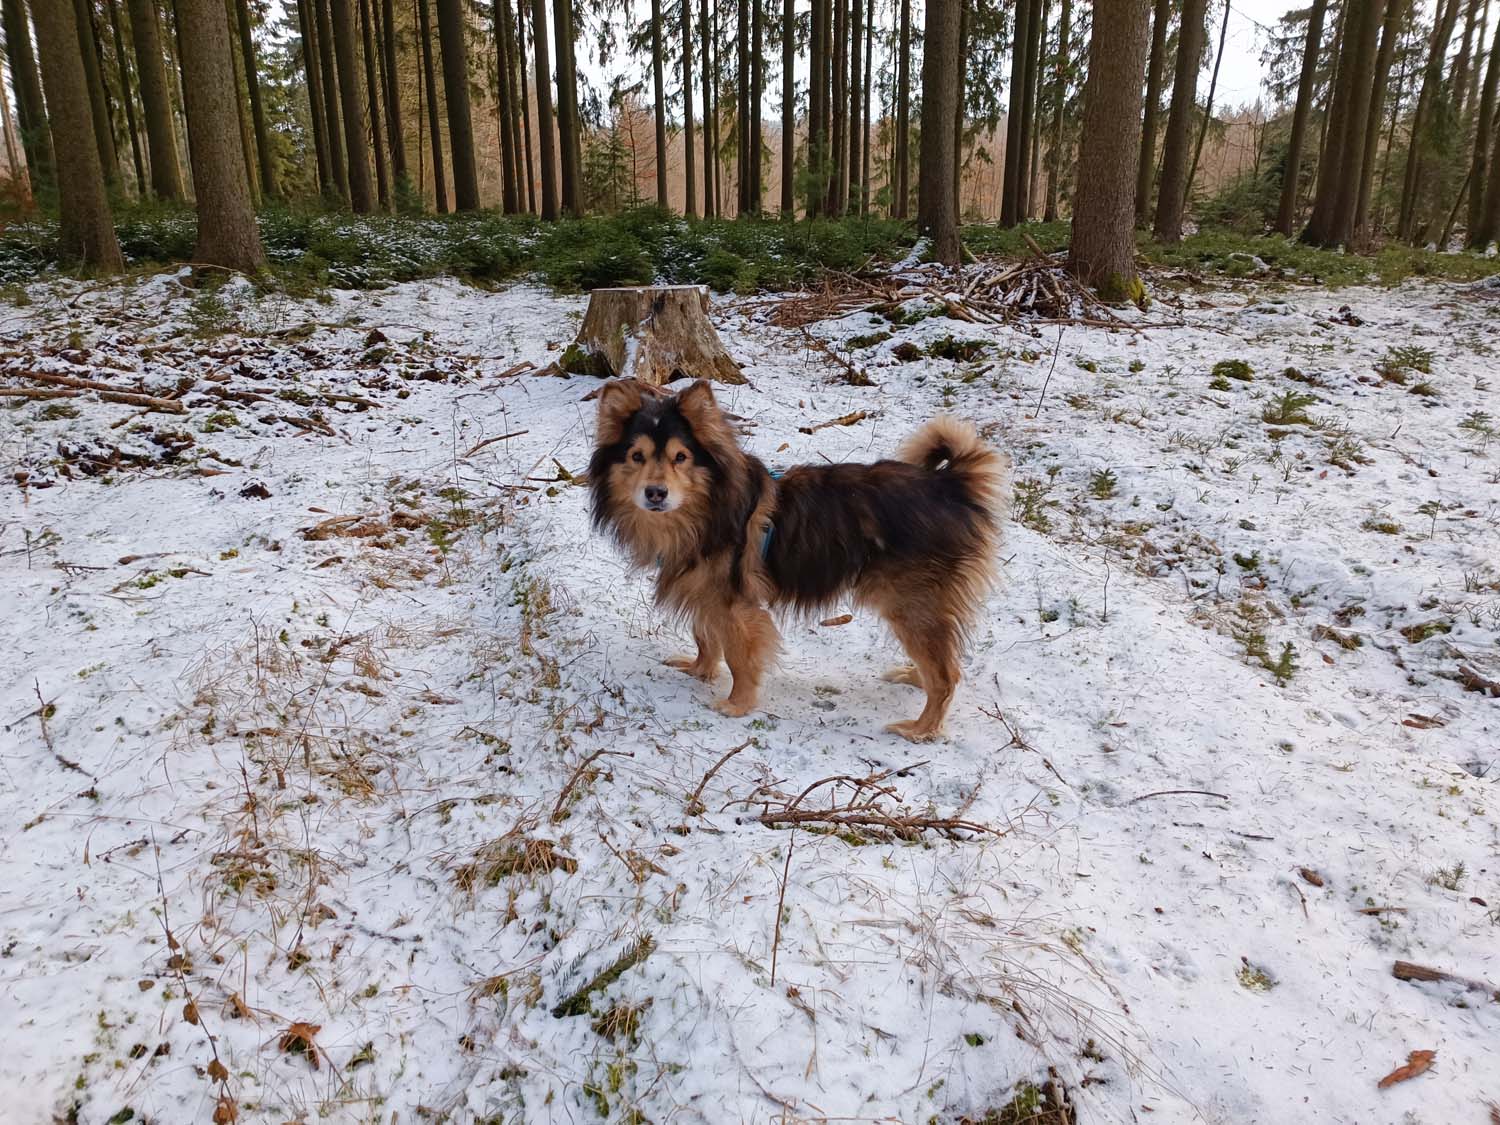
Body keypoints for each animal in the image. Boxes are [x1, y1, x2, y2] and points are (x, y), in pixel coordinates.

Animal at [588, 378, 1008, 741]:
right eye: (637, 456)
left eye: (681, 457)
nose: (655, 493)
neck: (704, 510)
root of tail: (949, 486)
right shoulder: (705, 592)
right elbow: (706, 637)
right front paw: (698, 671)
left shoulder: (735, 604)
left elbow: (738, 657)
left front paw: (737, 704)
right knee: (942, 661)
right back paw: (913, 676)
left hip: (910, 603)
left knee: (947, 676)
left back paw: (921, 729)